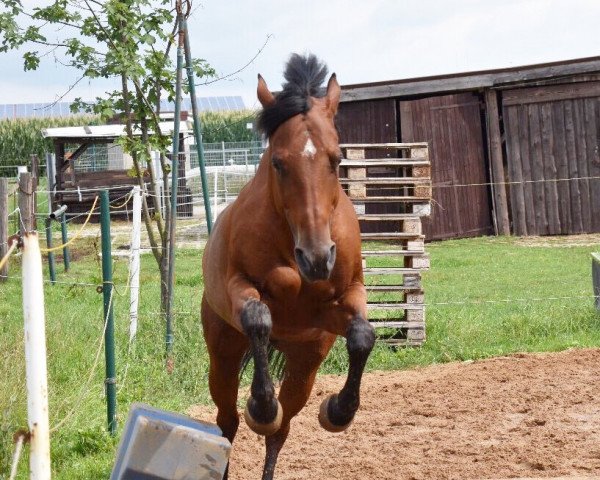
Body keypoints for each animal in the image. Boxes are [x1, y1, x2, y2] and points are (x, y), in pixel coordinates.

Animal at [203, 53, 376, 480]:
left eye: (335, 159)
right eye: (279, 163)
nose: (317, 258)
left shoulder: (346, 299)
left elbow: (363, 336)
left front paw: (338, 411)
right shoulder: (239, 287)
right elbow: (258, 318)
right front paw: (261, 406)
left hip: (304, 363)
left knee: (281, 430)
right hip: (223, 354)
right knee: (227, 421)